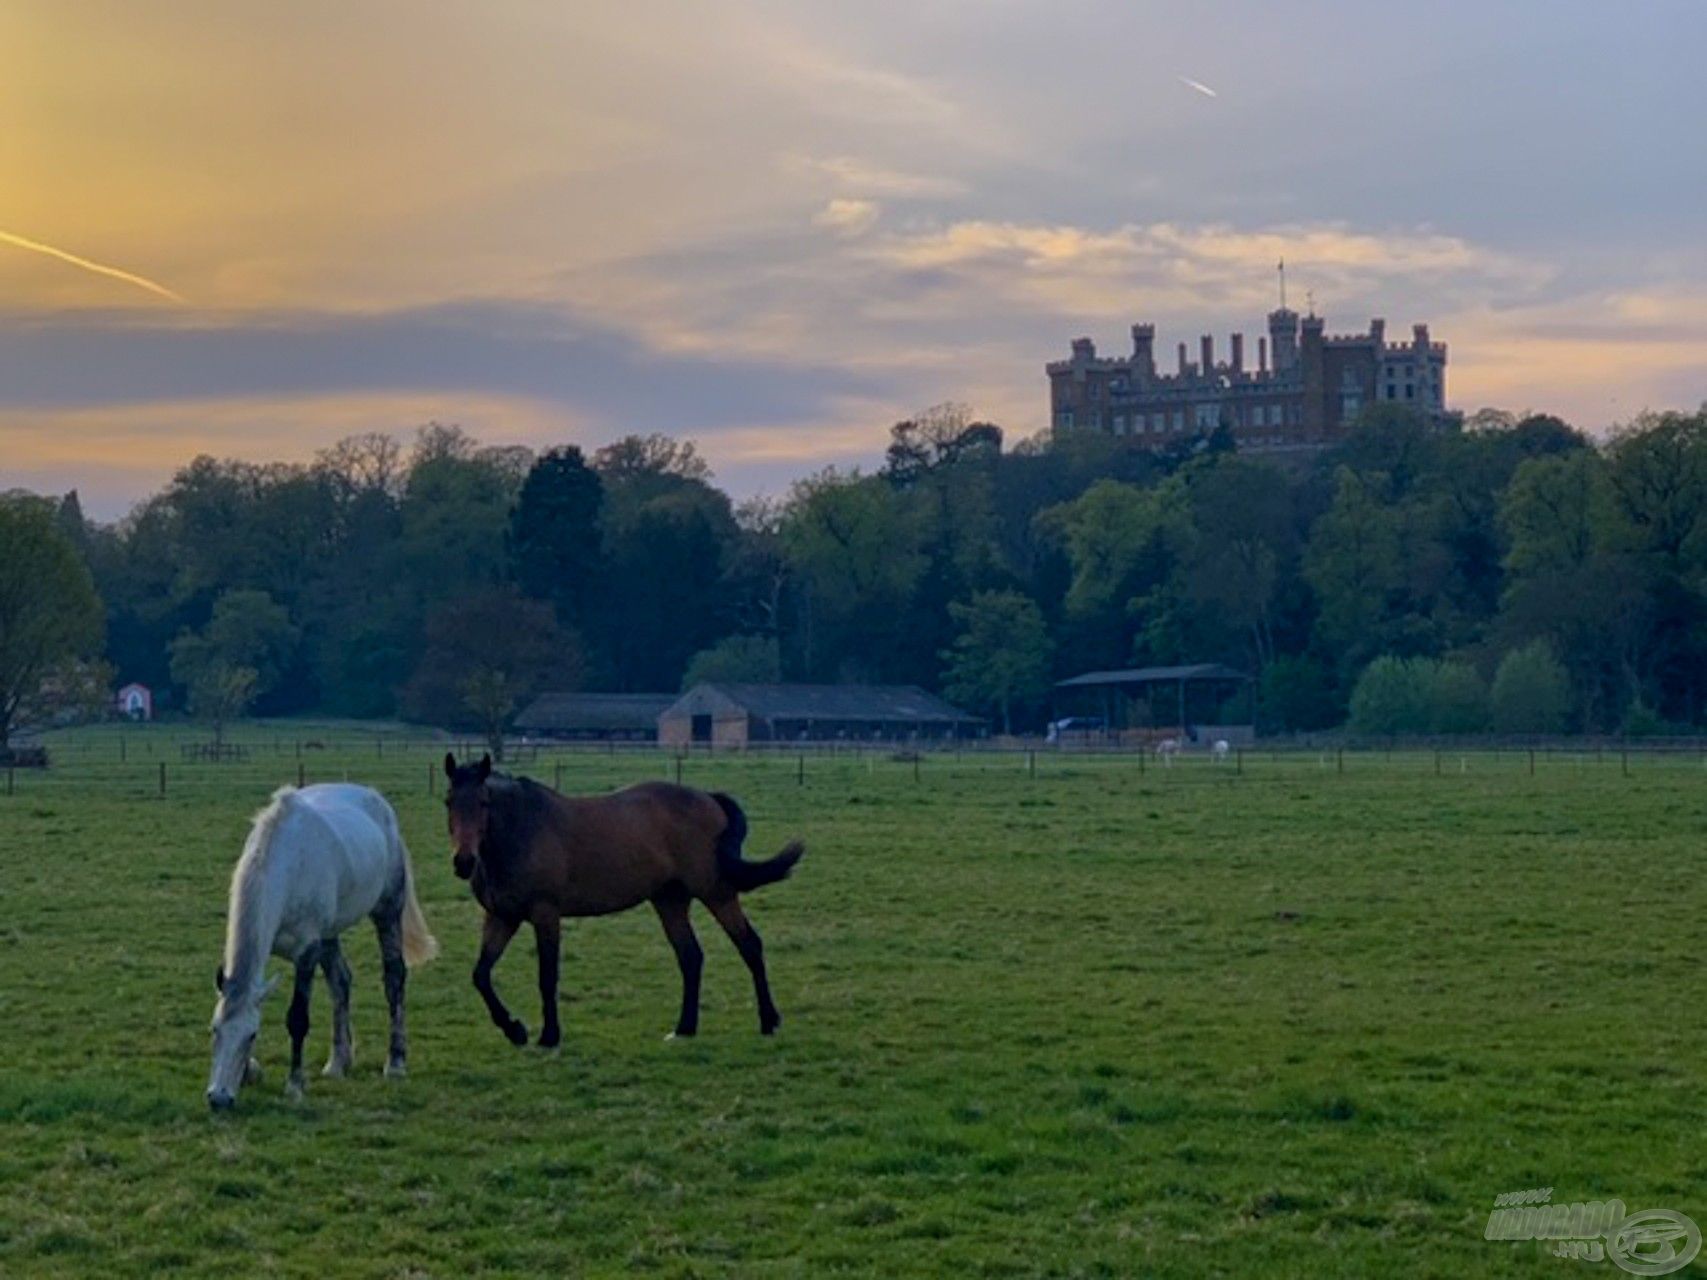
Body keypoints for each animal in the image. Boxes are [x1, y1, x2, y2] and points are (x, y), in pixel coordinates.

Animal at [206, 781, 436, 1112]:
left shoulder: (307, 951)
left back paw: (395, 1063)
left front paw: (294, 1085)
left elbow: (297, 1018)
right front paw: (250, 1072)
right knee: (341, 981)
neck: (286, 863)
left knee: (394, 978)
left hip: (387, 911)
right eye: (214, 1030)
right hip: (330, 935)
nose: (219, 1098)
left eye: (251, 1036)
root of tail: (377, 800)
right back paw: (338, 1063)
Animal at [447, 757, 805, 1044]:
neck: (522, 830)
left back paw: (769, 1021)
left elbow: (547, 977)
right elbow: (481, 975)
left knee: (749, 945)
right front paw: (515, 1030)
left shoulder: (545, 914)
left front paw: (549, 1036)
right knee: (691, 956)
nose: (463, 862)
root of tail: (708, 797)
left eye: (483, 801)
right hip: (669, 900)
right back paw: (684, 1029)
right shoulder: (501, 917)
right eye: (449, 801)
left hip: (716, 892)